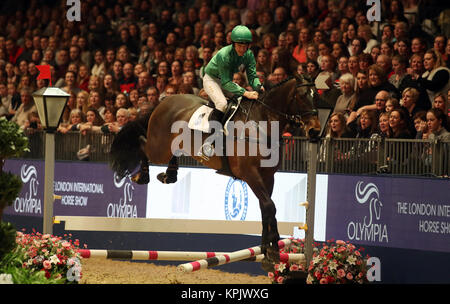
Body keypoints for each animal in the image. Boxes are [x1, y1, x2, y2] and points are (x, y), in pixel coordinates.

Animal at [108, 75, 320, 270]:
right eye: (302, 96)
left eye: (316, 95)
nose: (315, 132)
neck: (262, 123)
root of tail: (164, 101)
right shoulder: (250, 174)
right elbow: (269, 206)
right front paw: (273, 251)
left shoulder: (268, 177)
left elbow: (266, 209)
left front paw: (265, 251)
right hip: (159, 148)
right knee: (142, 143)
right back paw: (143, 175)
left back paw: (170, 174)